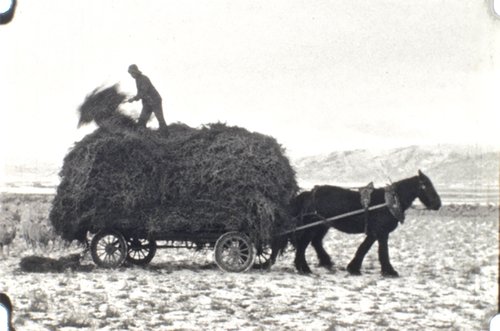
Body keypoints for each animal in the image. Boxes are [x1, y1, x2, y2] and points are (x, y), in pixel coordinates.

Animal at [278, 171, 442, 278]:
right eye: (425, 186)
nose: (438, 204)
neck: (389, 202)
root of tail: (310, 193)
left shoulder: (374, 233)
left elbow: (364, 248)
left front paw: (353, 268)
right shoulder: (382, 233)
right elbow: (382, 251)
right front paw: (390, 271)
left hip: (322, 225)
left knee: (315, 243)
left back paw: (322, 262)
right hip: (313, 226)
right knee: (303, 245)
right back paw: (304, 268)